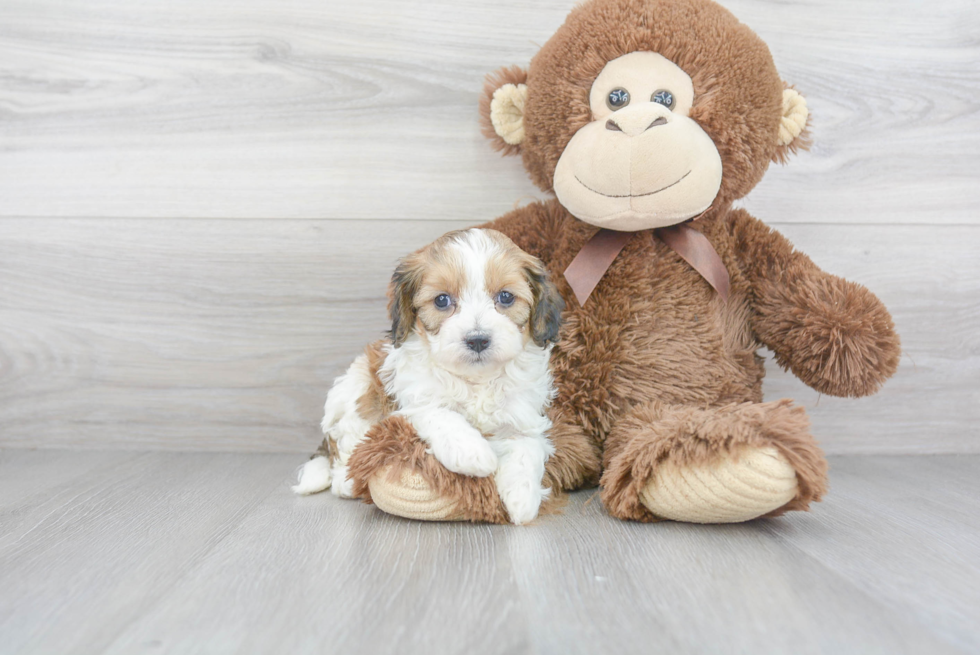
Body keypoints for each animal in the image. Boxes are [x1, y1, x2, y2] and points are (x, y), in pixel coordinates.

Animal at [290, 228, 564, 524]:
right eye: (442, 300)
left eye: (505, 297)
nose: (477, 340)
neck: (475, 379)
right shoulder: (411, 401)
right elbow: (440, 414)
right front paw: (473, 452)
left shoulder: (523, 415)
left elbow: (527, 446)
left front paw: (522, 499)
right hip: (355, 391)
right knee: (345, 445)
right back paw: (345, 481)